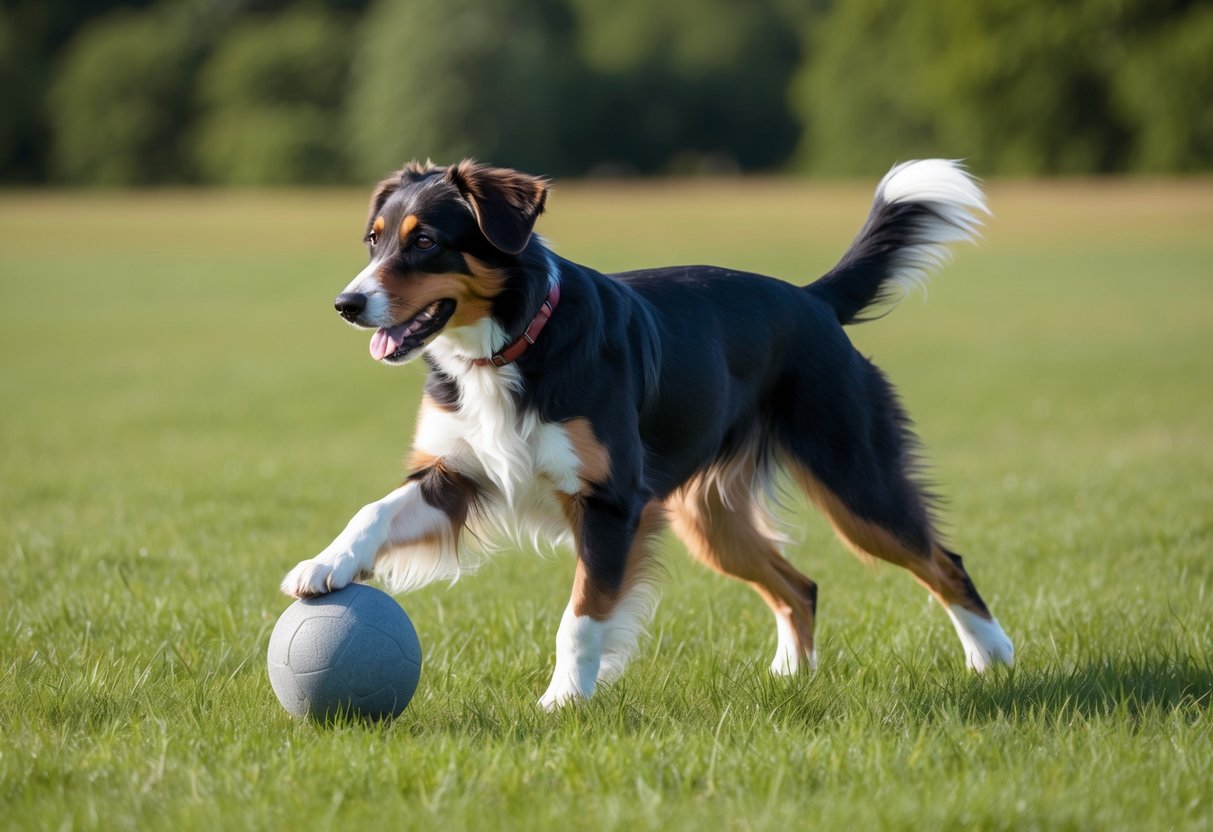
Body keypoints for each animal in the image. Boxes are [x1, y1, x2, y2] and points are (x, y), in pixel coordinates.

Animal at [281, 157, 1014, 708]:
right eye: (373, 239)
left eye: (425, 240)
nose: (346, 304)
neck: (513, 346)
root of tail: (811, 299)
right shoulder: (456, 474)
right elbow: (372, 511)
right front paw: (324, 565)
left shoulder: (610, 503)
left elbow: (580, 616)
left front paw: (564, 700)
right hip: (709, 518)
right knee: (800, 585)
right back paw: (789, 676)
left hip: (854, 481)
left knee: (943, 560)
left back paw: (994, 656)